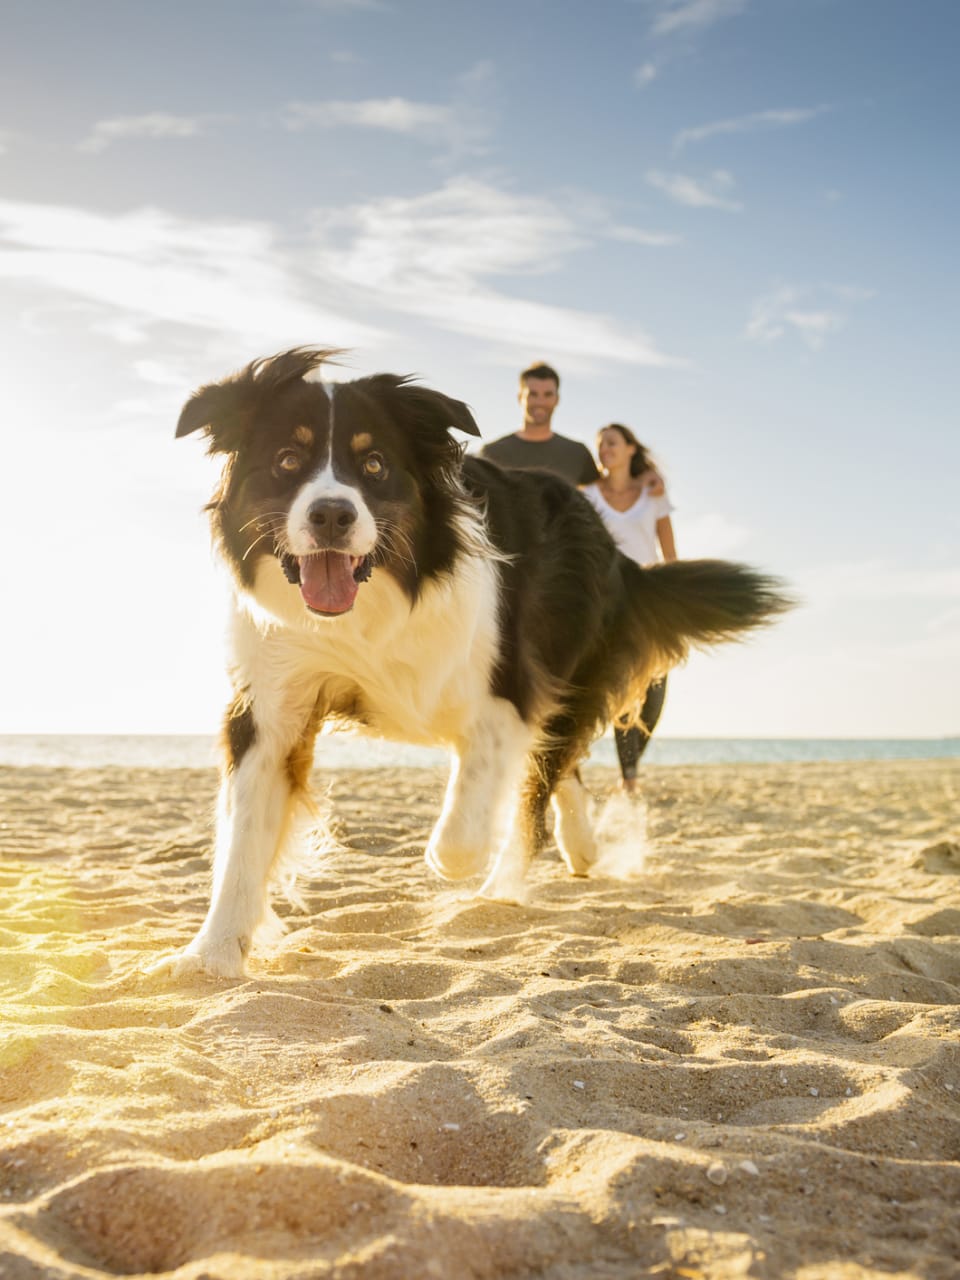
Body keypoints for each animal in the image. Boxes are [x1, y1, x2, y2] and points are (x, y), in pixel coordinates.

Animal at [163, 345, 788, 972]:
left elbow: (469, 820)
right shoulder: (272, 703)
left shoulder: (508, 689)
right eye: (287, 460)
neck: (372, 608)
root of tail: (613, 548)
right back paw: (580, 847)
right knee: (558, 769)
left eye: (375, 465)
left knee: (541, 777)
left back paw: (502, 888)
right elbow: (243, 838)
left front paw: (454, 863)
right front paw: (210, 954)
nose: (332, 515)